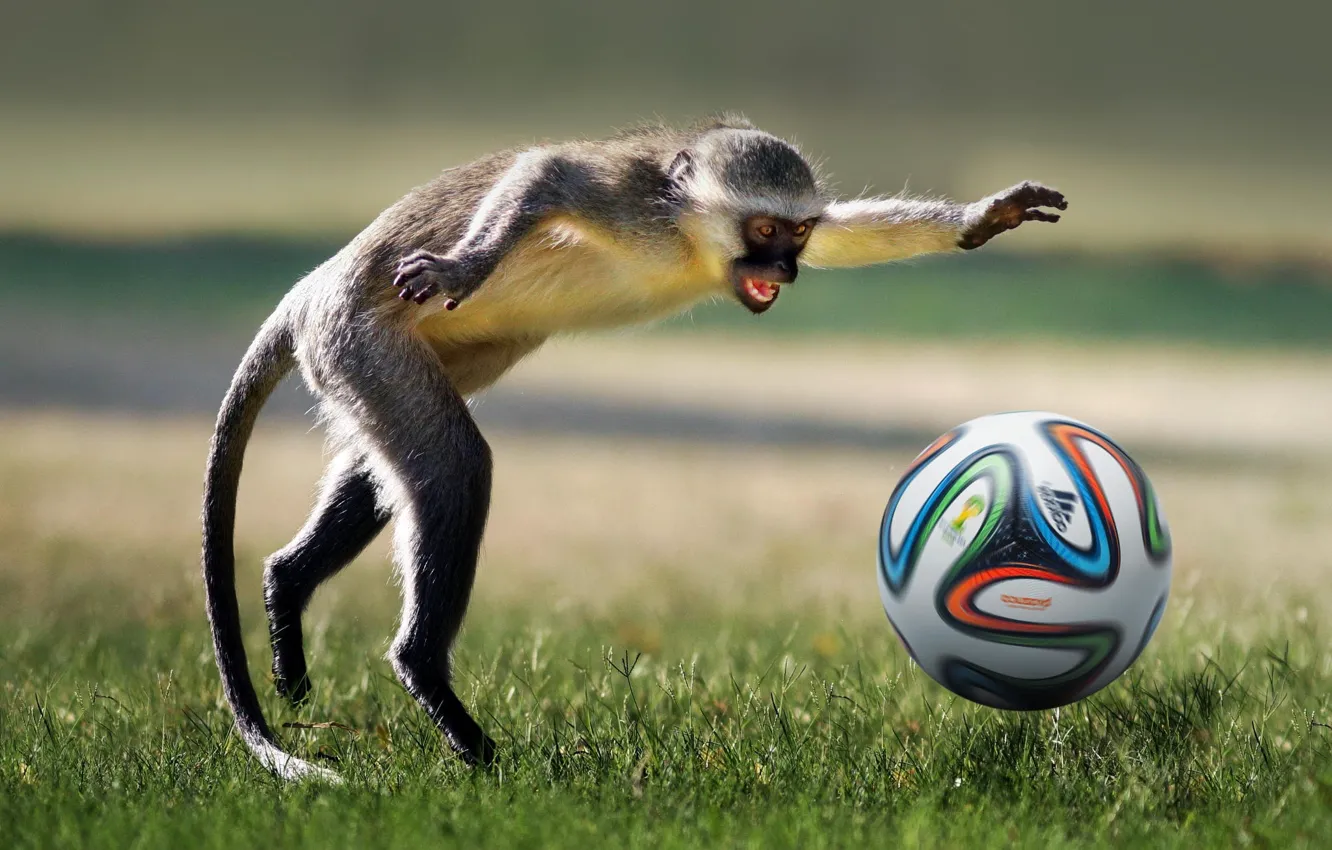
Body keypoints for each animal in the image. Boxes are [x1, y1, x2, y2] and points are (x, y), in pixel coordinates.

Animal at [201, 115, 1067, 782]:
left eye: (795, 232)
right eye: (764, 231)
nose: (786, 267)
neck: (690, 242)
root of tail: (309, 292)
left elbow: (847, 235)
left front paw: (980, 219)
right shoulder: (631, 204)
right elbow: (547, 169)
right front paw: (465, 261)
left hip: (385, 356)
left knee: (390, 465)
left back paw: (287, 586)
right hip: (359, 338)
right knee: (451, 464)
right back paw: (429, 680)